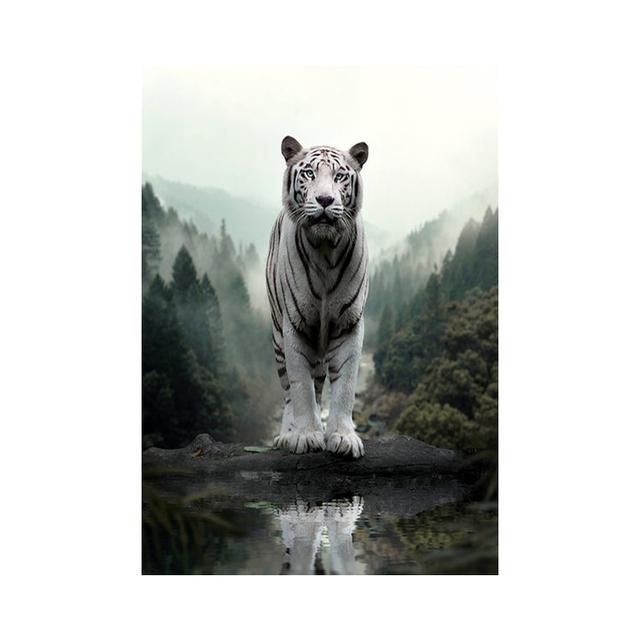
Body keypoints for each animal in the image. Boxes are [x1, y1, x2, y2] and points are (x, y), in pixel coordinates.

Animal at [266, 135, 369, 458]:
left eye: (339, 176)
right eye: (310, 173)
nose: (325, 200)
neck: (325, 249)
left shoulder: (349, 324)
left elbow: (345, 385)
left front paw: (343, 437)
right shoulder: (295, 326)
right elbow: (301, 386)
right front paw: (306, 435)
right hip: (277, 338)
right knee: (289, 390)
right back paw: (287, 434)